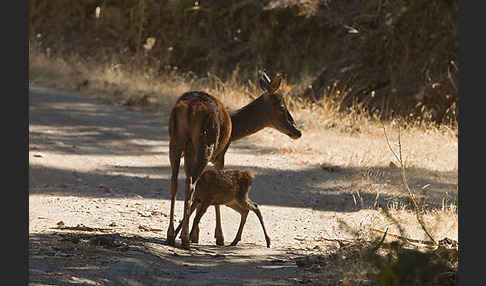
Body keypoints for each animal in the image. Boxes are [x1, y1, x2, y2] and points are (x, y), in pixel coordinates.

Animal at [169, 71, 302, 248]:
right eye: (282, 106)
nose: (297, 131)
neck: (234, 130)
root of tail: (190, 108)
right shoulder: (220, 155)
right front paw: (218, 237)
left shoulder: (191, 153)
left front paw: (196, 234)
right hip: (206, 143)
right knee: (189, 184)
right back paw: (184, 238)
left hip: (176, 141)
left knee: (175, 182)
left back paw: (171, 235)